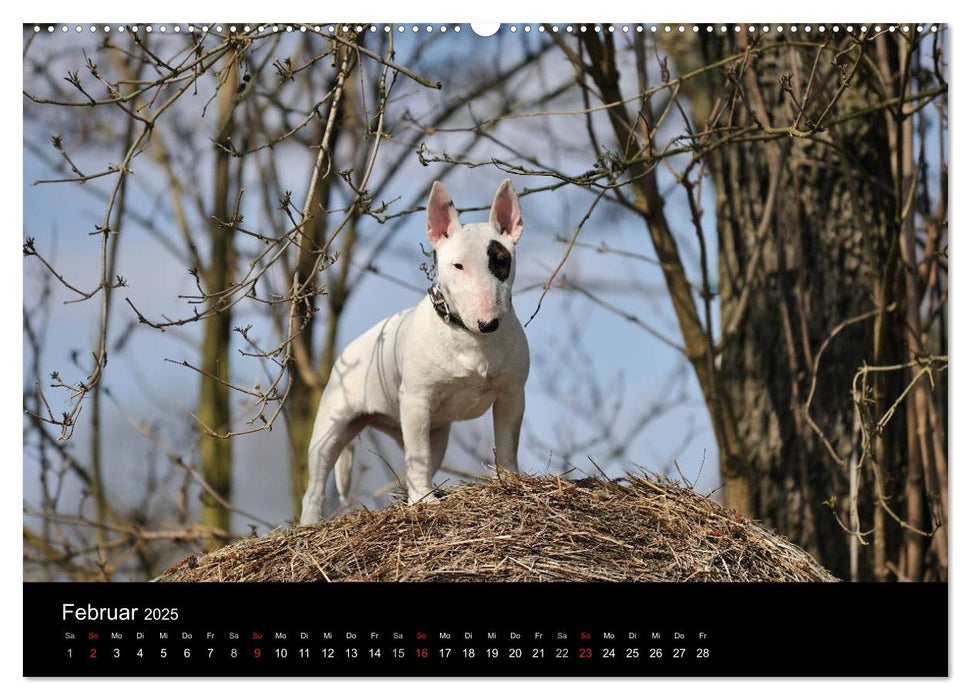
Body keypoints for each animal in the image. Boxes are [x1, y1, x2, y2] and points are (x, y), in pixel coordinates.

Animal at [304, 178, 532, 524]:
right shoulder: (417, 399)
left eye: (500, 262)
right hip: (333, 427)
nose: (488, 323)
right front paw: (424, 501)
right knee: (316, 485)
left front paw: (510, 481)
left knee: (422, 457)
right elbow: (418, 455)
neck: (470, 339)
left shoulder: (512, 395)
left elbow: (507, 443)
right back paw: (309, 523)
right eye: (458, 265)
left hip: (432, 430)